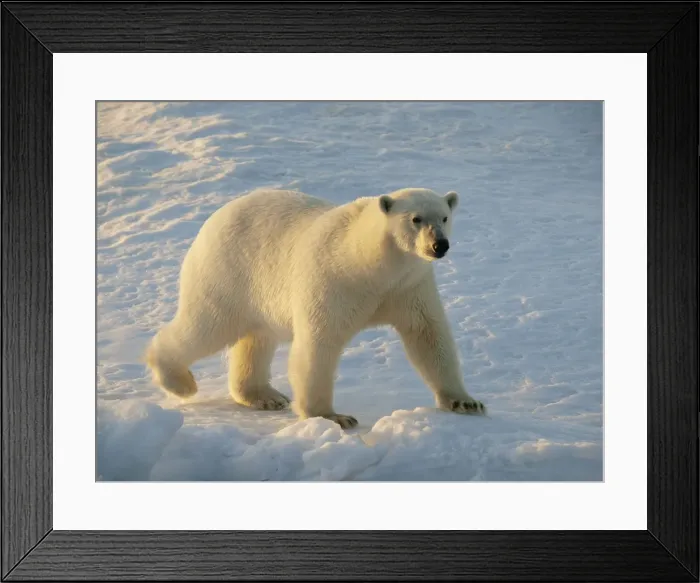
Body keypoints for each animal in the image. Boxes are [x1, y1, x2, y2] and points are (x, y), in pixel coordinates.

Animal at [146, 187, 486, 429]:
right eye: (416, 219)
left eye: (444, 217)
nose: (439, 245)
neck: (370, 266)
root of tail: (216, 217)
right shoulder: (333, 281)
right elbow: (319, 344)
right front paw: (333, 417)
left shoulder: (408, 287)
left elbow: (428, 336)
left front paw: (466, 403)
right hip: (227, 272)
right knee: (207, 325)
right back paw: (179, 381)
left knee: (256, 337)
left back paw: (263, 396)